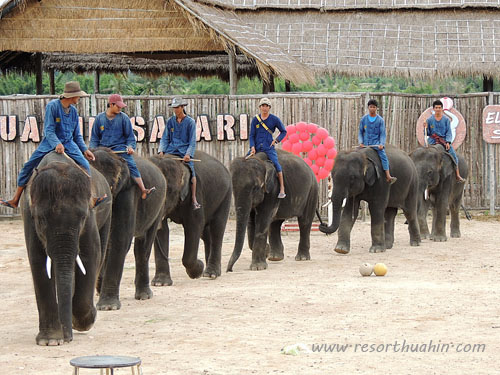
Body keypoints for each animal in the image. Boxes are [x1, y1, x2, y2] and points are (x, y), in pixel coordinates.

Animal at [21, 151, 111, 346]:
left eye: (82, 217)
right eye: (41, 219)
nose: (67, 337)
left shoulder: (91, 214)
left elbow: (91, 255)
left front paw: (83, 322)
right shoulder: (29, 217)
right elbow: (38, 261)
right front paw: (50, 341)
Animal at [89, 149, 167, 312]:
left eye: (110, 187)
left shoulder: (128, 192)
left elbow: (120, 238)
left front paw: (108, 307)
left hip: (158, 207)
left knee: (143, 246)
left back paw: (144, 296)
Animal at [148, 150, 232, 284]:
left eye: (170, 190)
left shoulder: (195, 192)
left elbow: (194, 225)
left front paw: (197, 270)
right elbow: (162, 230)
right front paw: (160, 283)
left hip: (226, 194)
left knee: (217, 229)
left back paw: (210, 274)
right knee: (206, 234)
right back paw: (207, 271)